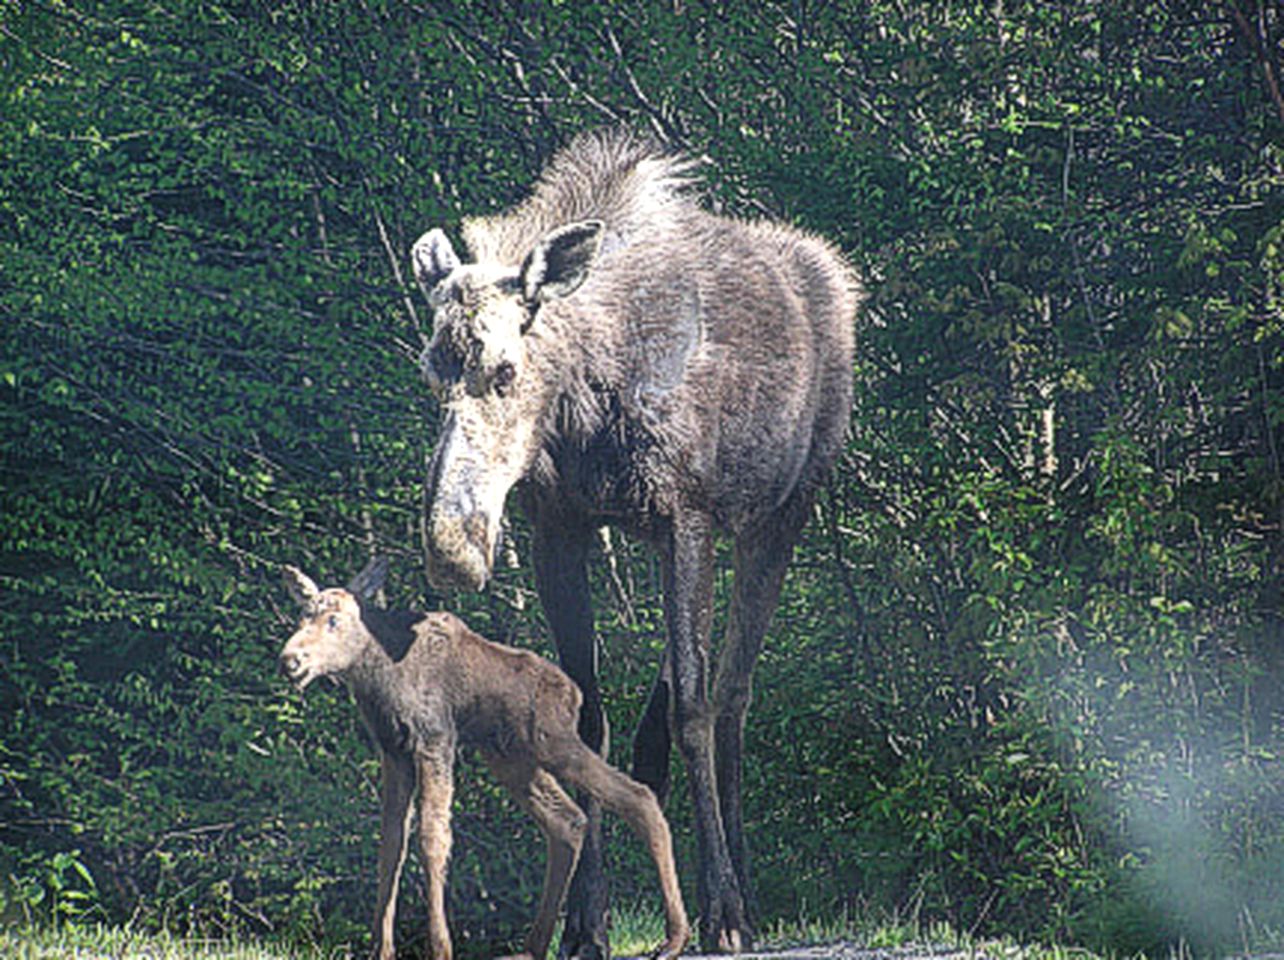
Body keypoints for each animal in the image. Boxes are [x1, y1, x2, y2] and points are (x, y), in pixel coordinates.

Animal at [276, 559, 688, 960]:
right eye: (301, 615)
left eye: (334, 620)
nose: (290, 659)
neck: (377, 679)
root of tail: (573, 694)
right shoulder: (393, 751)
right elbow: (391, 841)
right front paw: (382, 948)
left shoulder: (435, 739)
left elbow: (433, 836)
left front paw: (440, 946)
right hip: (512, 759)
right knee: (568, 819)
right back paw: (534, 946)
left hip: (552, 743)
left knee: (636, 796)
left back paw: (675, 937)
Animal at [410, 131, 852, 954]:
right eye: (431, 371)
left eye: (505, 369)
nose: (455, 544)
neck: (587, 401)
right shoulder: (561, 524)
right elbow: (589, 716)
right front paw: (586, 922)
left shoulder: (685, 514)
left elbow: (695, 709)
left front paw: (722, 908)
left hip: (779, 514)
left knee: (732, 692)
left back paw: (744, 886)